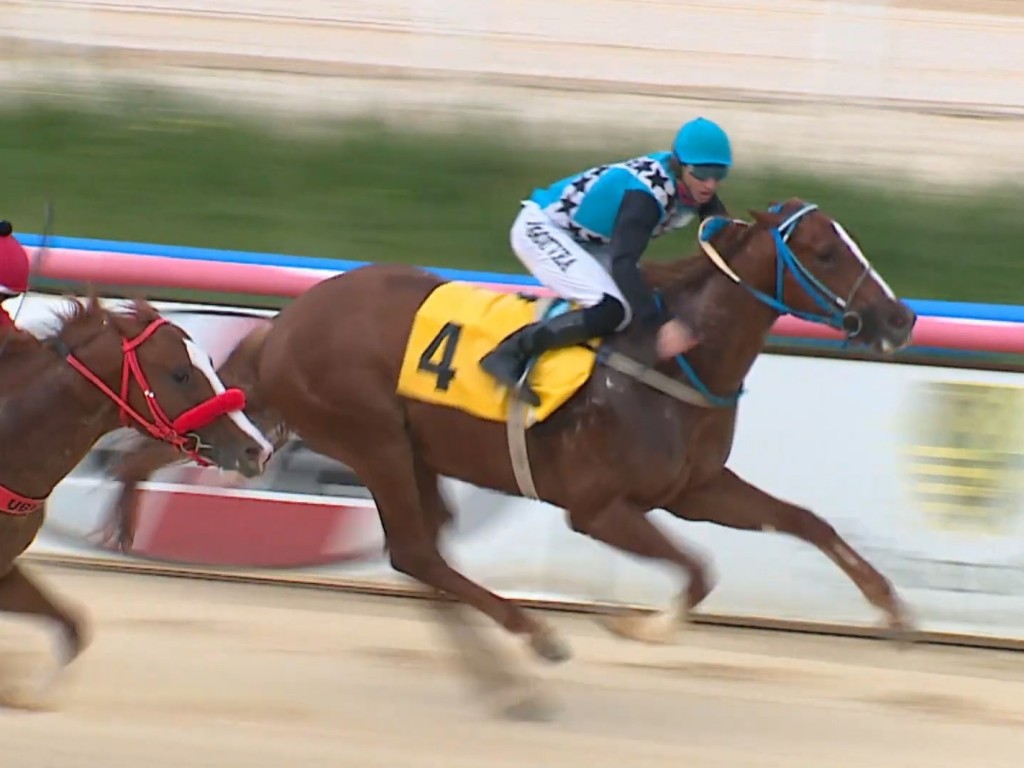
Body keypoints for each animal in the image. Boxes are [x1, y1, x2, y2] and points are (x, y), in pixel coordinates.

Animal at [99, 199, 917, 716]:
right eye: (823, 251)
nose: (900, 318)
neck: (670, 358)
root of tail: (290, 320)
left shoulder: (697, 486)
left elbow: (804, 521)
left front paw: (892, 608)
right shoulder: (598, 509)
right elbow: (697, 569)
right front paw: (637, 628)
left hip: (409, 450)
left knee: (424, 555)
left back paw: (509, 686)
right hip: (373, 437)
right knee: (418, 553)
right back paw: (536, 641)